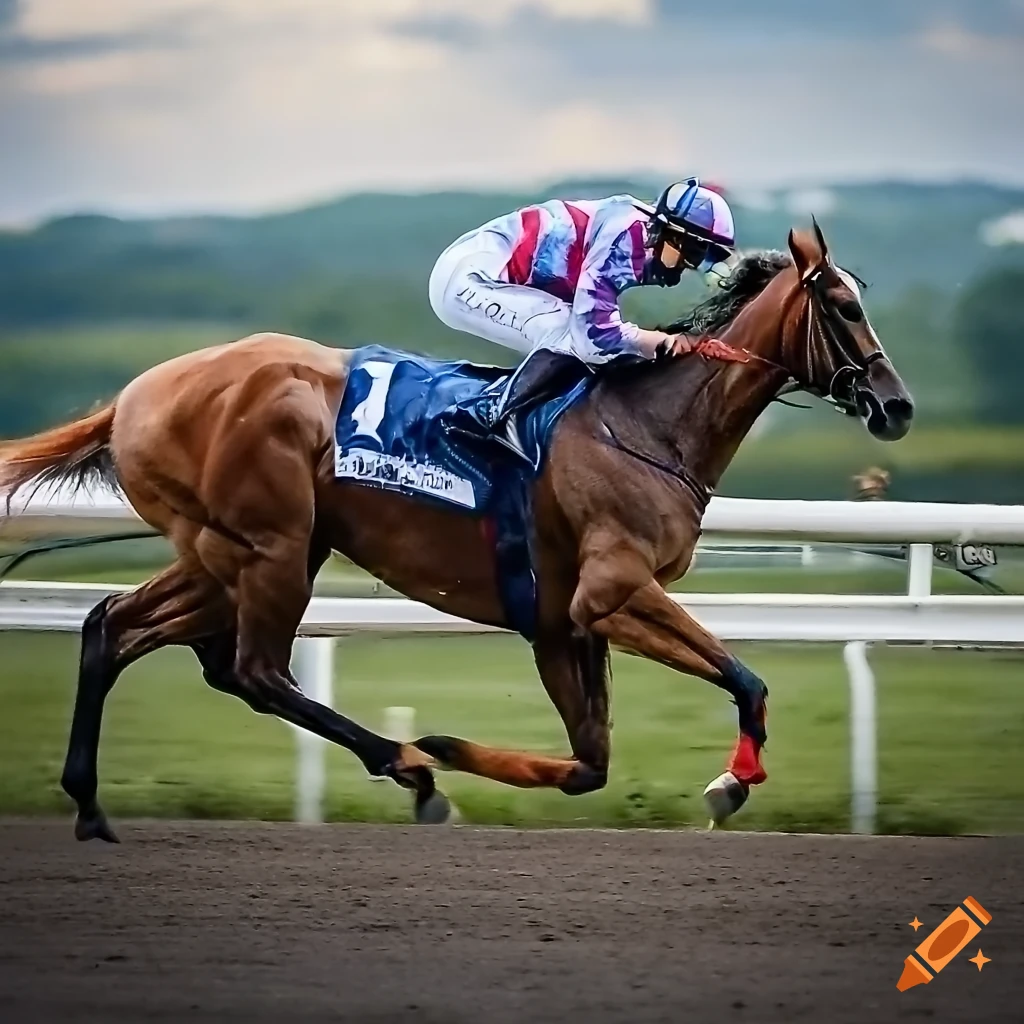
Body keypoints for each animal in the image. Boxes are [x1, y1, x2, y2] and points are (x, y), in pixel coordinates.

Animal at [0, 222, 913, 842]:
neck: (648, 423)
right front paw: (734, 781)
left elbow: (589, 765)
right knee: (254, 671)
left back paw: (90, 806)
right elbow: (746, 680)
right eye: (842, 307)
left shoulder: (564, 619)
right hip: (270, 548)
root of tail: (136, 396)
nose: (896, 406)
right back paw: (406, 765)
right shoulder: (615, 592)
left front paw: (452, 745)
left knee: (118, 627)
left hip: (231, 552)